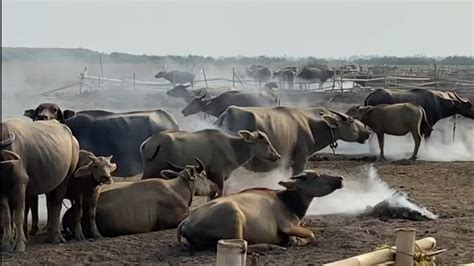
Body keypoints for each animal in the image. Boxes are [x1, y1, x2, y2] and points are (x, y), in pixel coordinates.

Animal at [0, 119, 79, 252]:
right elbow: (6, 216)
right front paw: (6, 243)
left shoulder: (20, 185)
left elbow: (18, 216)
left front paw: (20, 244)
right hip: (51, 184)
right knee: (50, 204)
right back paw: (49, 234)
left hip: (65, 179)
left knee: (57, 205)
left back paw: (56, 237)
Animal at [176, 170, 342, 249]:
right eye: (315, 176)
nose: (340, 178)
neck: (290, 203)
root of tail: (185, 223)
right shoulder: (287, 225)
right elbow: (311, 234)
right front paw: (296, 241)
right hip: (234, 214)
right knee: (243, 244)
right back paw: (271, 246)